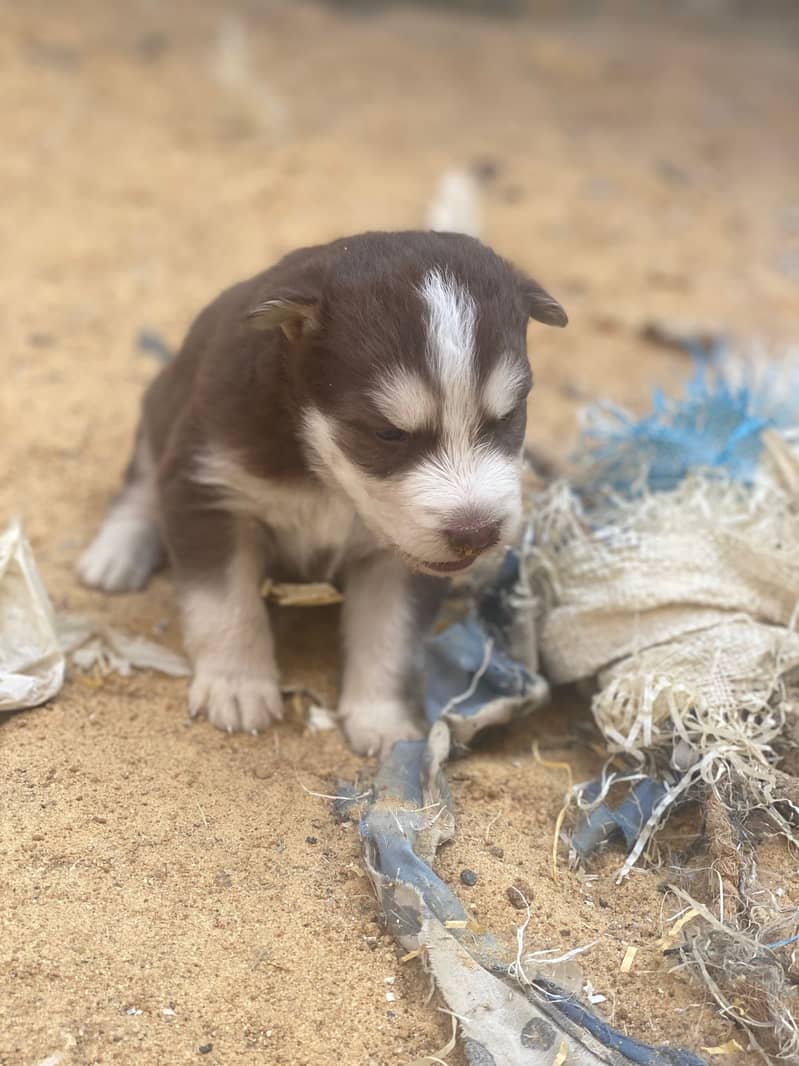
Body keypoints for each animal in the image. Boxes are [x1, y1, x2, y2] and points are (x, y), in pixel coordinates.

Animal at [78, 230, 566, 754]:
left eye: (508, 417)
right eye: (387, 434)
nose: (477, 534)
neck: (329, 478)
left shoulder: (401, 560)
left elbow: (389, 637)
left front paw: (381, 719)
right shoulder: (206, 488)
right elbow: (225, 605)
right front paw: (236, 686)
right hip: (161, 407)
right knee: (139, 486)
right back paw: (115, 554)